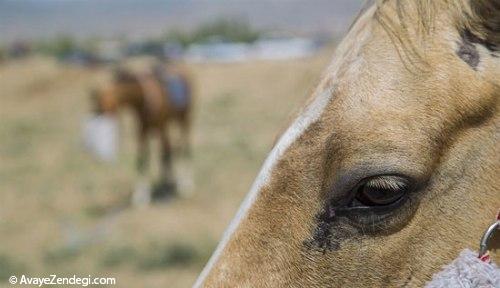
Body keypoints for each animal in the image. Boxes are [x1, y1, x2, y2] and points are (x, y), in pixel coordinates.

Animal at [91, 64, 192, 206]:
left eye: (103, 111)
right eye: (97, 111)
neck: (144, 99)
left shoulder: (161, 128)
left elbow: (164, 155)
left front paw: (166, 192)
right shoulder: (142, 132)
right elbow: (142, 159)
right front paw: (141, 196)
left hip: (184, 120)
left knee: (183, 148)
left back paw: (185, 185)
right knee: (174, 149)